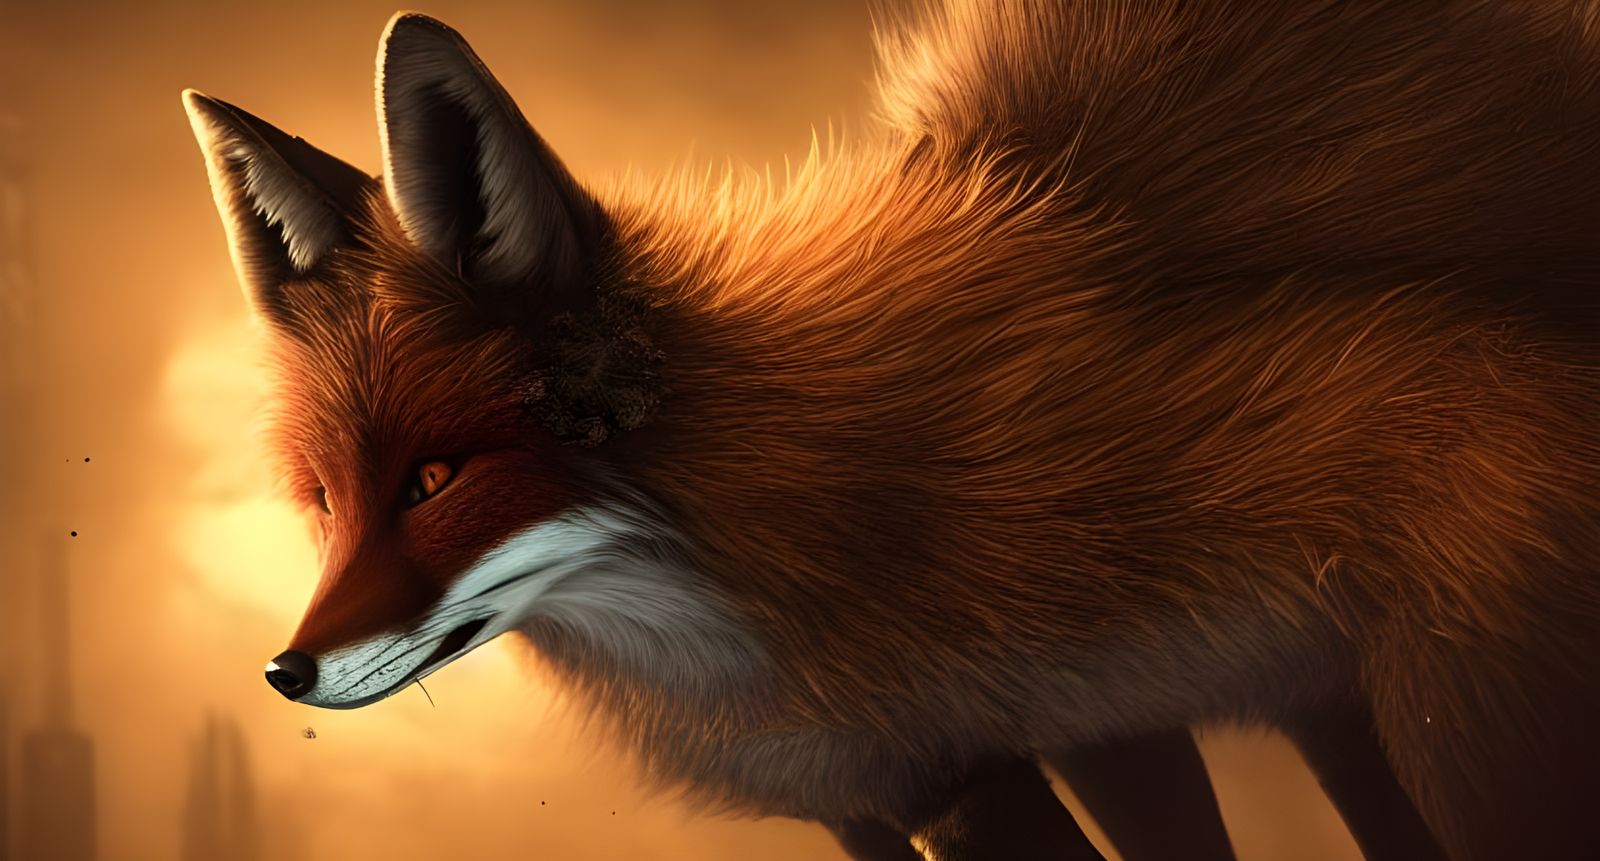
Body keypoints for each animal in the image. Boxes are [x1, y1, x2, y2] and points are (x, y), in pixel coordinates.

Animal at [183, 2, 1600, 859]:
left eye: (433, 478)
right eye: (327, 503)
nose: (283, 676)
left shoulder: (1038, 741)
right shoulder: (925, 780)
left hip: (1464, 739)